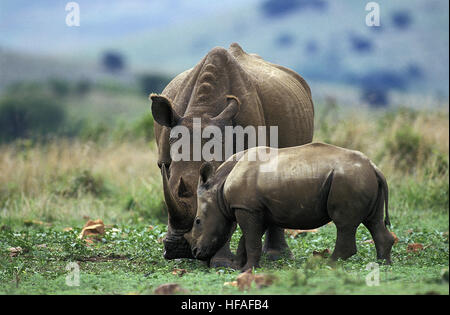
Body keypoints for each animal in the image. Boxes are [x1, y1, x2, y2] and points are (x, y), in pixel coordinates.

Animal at [186, 144, 394, 270]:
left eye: (198, 221)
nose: (195, 252)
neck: (218, 188)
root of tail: (374, 167)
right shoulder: (253, 208)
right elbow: (246, 240)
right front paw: (237, 266)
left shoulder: (247, 208)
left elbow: (251, 240)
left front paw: (247, 270)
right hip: (360, 178)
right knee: (373, 221)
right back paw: (384, 264)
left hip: (347, 179)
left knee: (344, 224)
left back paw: (326, 265)